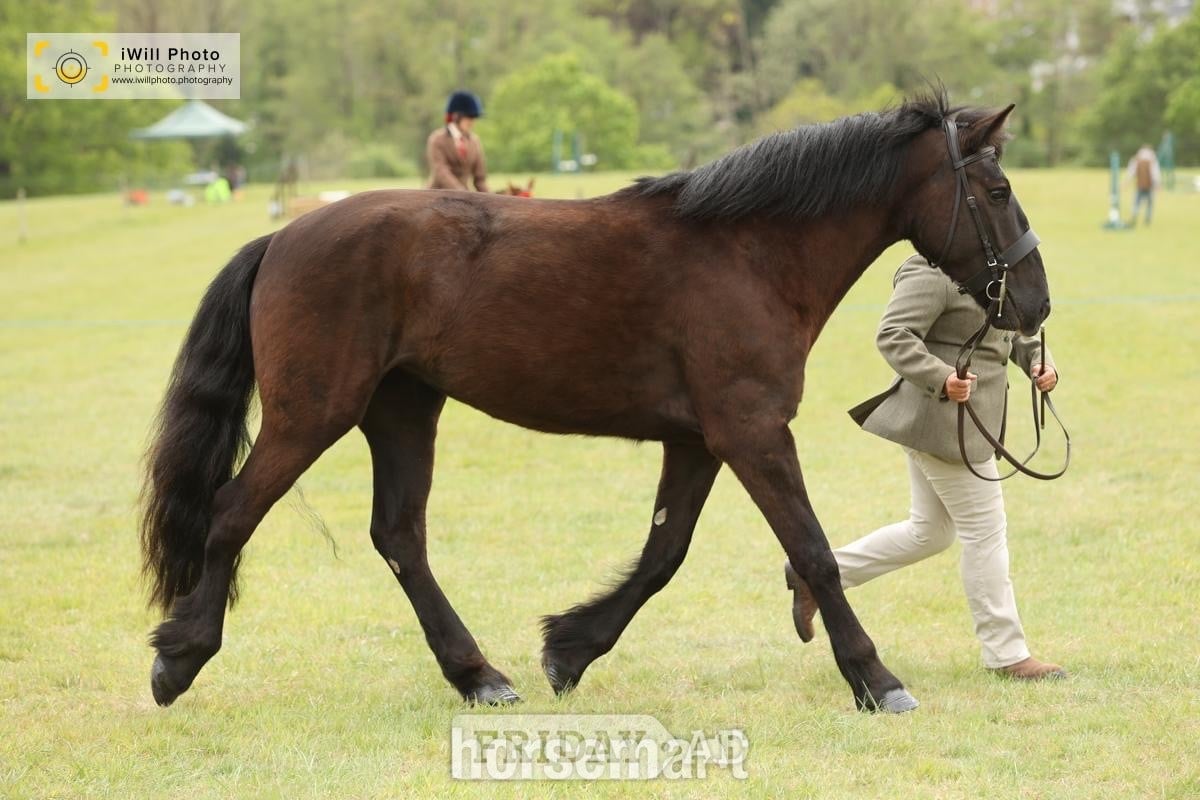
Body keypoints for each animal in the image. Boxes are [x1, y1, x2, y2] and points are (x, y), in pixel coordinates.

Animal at [140, 92, 1050, 713]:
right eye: (998, 190)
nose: (1034, 305)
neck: (749, 253)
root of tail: (282, 237)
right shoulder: (752, 432)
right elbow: (815, 553)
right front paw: (875, 679)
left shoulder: (699, 441)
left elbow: (662, 555)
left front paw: (568, 650)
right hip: (314, 414)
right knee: (233, 512)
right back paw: (179, 658)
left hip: (403, 409)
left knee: (398, 536)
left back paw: (480, 675)